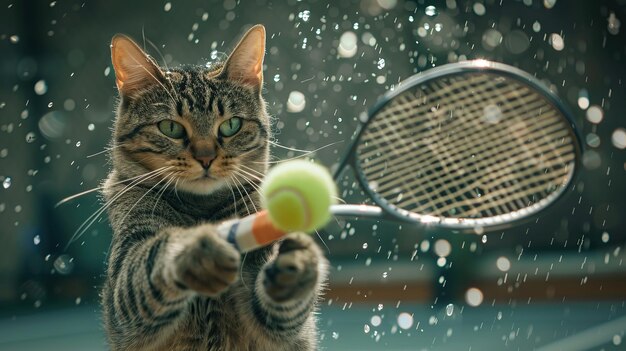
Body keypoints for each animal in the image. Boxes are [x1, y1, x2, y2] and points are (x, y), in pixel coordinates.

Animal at [101, 25, 326, 351]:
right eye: (170, 128)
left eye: (231, 125)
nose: (206, 157)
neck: (202, 211)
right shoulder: (124, 286)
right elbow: (146, 264)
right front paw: (193, 252)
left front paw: (296, 263)